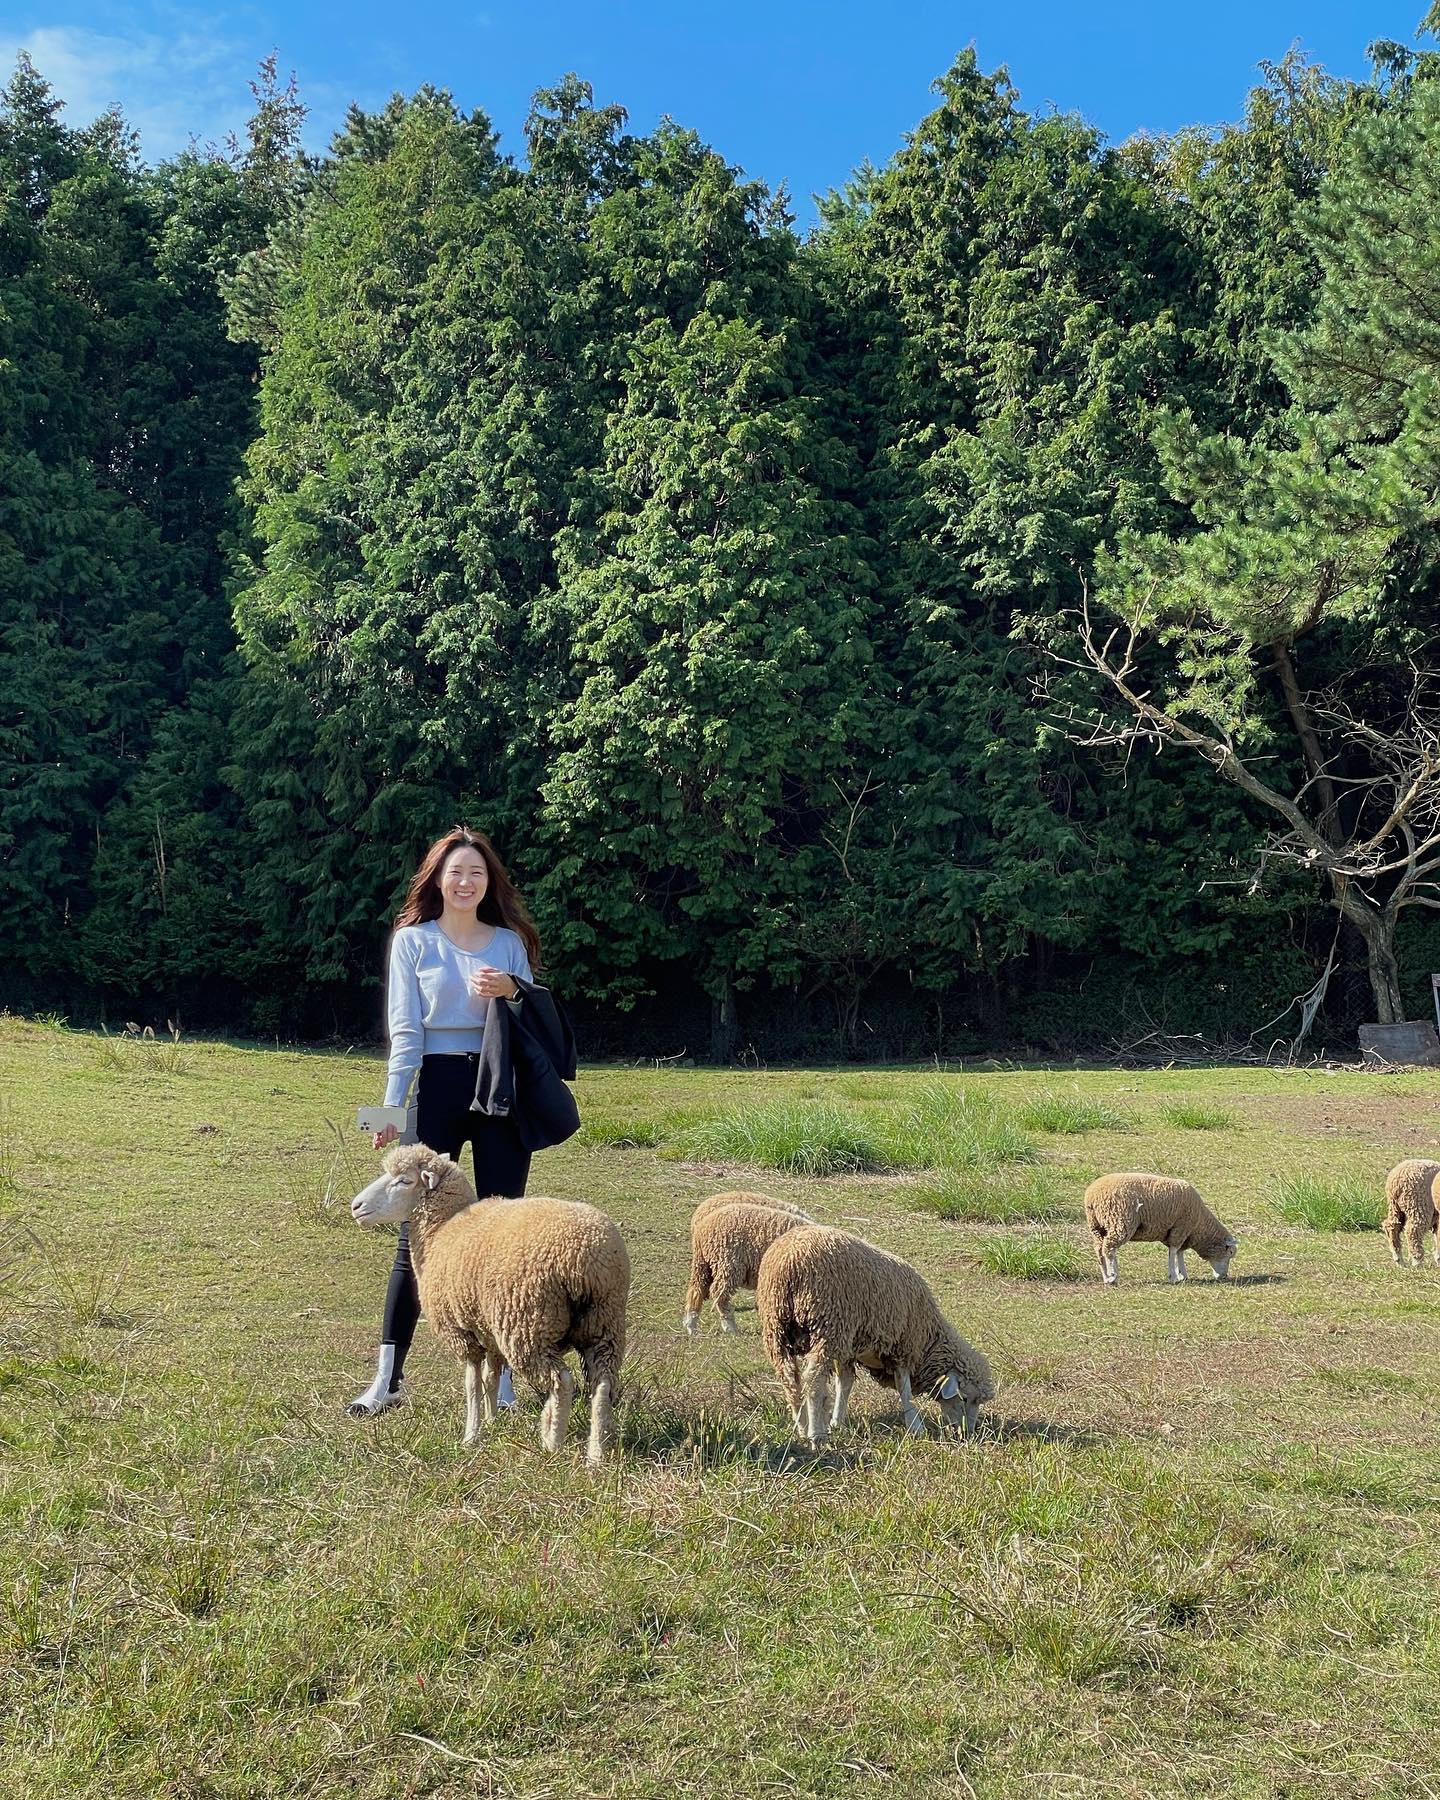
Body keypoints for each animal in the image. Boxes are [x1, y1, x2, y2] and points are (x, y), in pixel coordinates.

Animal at [350, 1143, 629, 1466]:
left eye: (404, 1180)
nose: (356, 1206)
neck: (439, 1231)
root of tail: (586, 1261)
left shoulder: (462, 1335)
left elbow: (472, 1384)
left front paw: (471, 1435)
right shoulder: (489, 1334)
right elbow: (491, 1378)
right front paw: (493, 1421)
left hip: (529, 1325)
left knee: (562, 1382)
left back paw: (552, 1442)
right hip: (604, 1323)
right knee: (602, 1385)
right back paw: (596, 1454)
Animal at [683, 1195, 812, 1335]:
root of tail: (701, 1229)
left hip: (703, 1265)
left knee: (696, 1290)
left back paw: (691, 1326)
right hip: (727, 1264)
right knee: (719, 1294)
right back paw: (731, 1328)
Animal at [755, 1224, 995, 1446]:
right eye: (966, 1398)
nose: (968, 1434)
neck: (929, 1341)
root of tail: (789, 1262)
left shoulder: (849, 1349)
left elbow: (845, 1383)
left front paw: (837, 1421)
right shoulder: (903, 1346)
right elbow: (904, 1389)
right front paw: (916, 1427)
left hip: (777, 1327)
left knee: (790, 1380)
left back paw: (801, 1427)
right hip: (827, 1326)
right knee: (813, 1381)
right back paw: (816, 1435)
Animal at [1083, 1173, 1237, 1286]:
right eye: (1229, 1252)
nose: (1224, 1276)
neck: (1199, 1225)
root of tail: (1091, 1196)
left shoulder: (1180, 1232)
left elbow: (1179, 1252)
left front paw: (1182, 1274)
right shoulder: (1180, 1228)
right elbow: (1174, 1251)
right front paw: (1174, 1276)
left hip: (1097, 1227)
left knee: (1100, 1250)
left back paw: (1106, 1277)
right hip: (1119, 1222)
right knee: (1109, 1249)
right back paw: (1113, 1276)